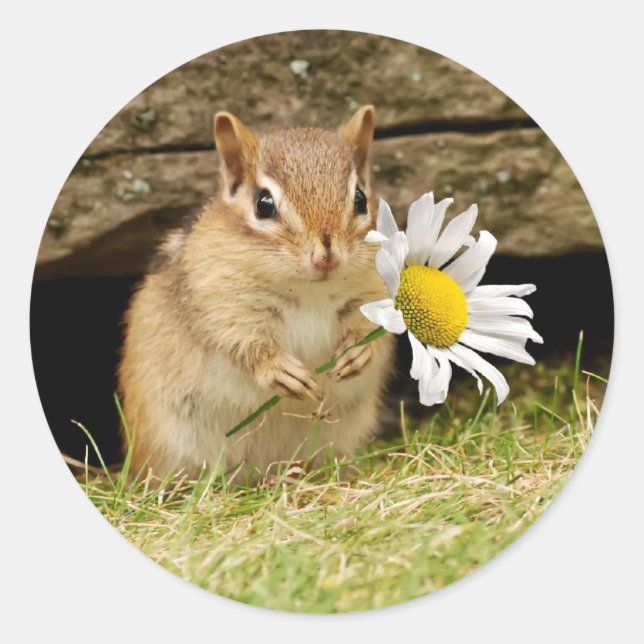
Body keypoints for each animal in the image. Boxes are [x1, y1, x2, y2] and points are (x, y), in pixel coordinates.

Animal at [118, 105, 395, 482]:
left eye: (361, 200)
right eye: (264, 204)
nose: (326, 256)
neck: (311, 290)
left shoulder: (373, 291)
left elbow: (373, 329)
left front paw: (357, 354)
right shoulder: (223, 303)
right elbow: (243, 344)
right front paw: (281, 372)